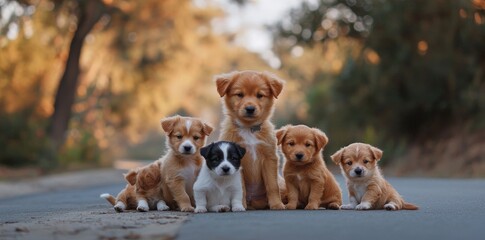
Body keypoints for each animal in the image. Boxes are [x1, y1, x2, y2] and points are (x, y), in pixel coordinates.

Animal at [214, 70, 286, 210]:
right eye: (240, 94)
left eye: (260, 95)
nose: (250, 109)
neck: (248, 128)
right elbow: (241, 188)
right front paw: (240, 206)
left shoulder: (269, 158)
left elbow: (272, 185)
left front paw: (277, 204)